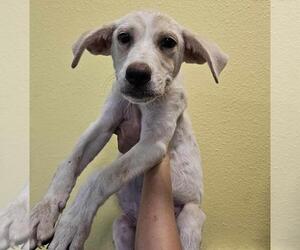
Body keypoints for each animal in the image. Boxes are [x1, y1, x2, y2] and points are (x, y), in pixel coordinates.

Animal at [29, 10, 227, 250]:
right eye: (123, 37)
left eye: (168, 42)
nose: (137, 74)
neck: (137, 105)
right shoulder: (103, 124)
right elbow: (68, 164)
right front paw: (44, 212)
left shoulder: (153, 143)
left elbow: (102, 175)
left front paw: (72, 223)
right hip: (121, 225)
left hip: (191, 215)